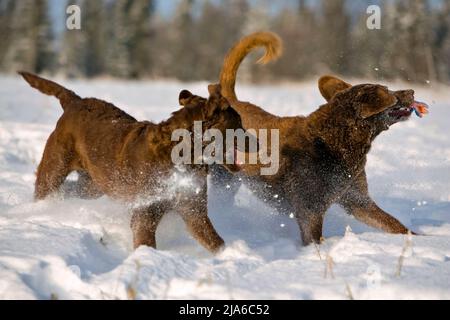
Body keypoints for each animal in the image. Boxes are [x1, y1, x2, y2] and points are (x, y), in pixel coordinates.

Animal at [19, 72, 243, 252]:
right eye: (238, 123)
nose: (252, 138)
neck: (183, 156)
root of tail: (75, 101)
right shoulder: (146, 212)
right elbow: (145, 241)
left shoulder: (193, 209)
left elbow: (215, 242)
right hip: (55, 167)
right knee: (46, 187)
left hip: (94, 184)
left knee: (73, 190)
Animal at [209, 32, 416, 244]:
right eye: (388, 90)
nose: (412, 91)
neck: (336, 141)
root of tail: (231, 100)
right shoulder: (310, 211)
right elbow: (315, 239)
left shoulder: (357, 200)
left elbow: (393, 223)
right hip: (223, 178)